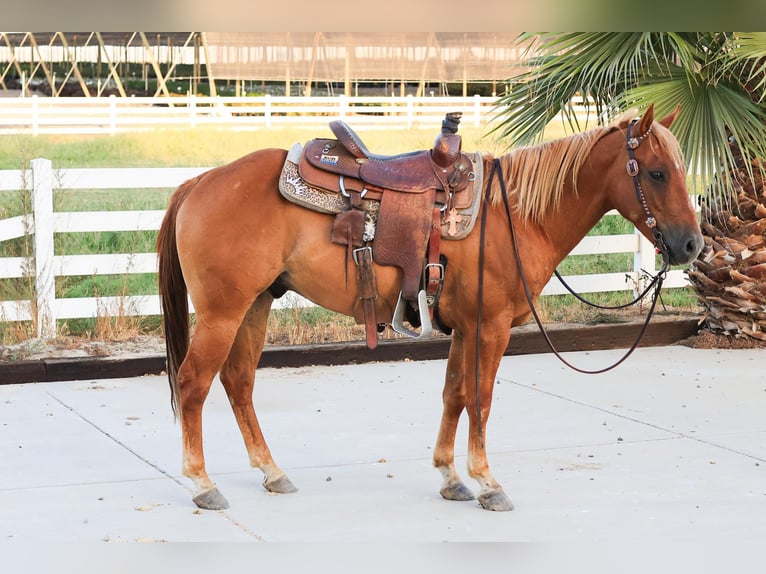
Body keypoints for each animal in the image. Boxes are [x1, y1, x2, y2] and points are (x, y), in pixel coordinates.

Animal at [156, 103, 703, 512]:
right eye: (657, 173)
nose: (692, 245)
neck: (514, 215)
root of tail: (200, 182)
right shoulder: (490, 327)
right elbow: (480, 399)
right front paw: (487, 482)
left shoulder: (464, 327)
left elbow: (454, 395)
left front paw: (449, 476)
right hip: (223, 313)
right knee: (194, 383)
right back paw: (202, 484)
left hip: (254, 306)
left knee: (238, 383)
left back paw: (272, 472)